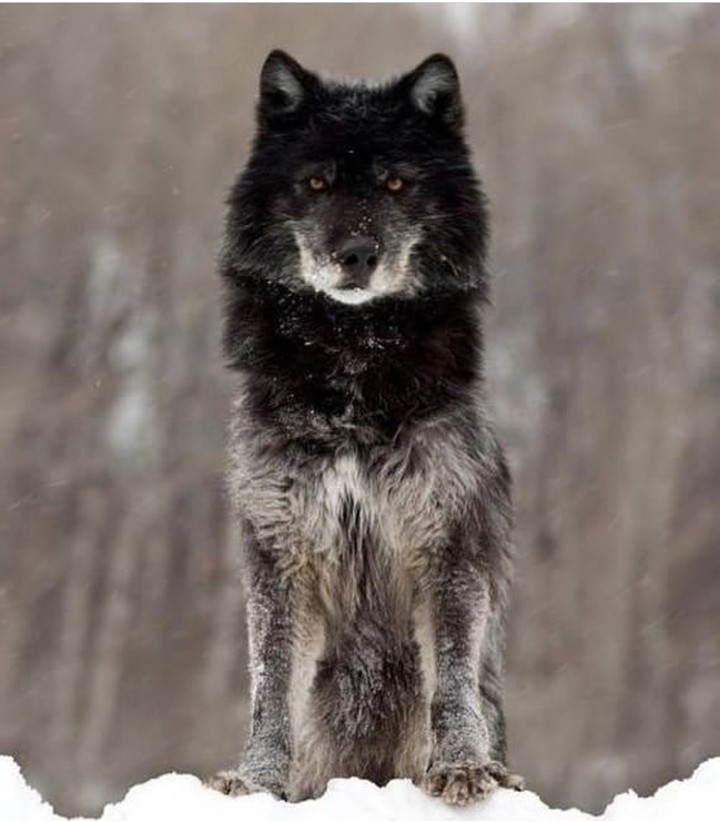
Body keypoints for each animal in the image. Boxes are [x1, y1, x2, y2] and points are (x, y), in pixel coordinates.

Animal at [207, 50, 523, 806]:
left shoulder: (449, 541)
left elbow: (453, 682)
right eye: (317, 182)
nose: (355, 253)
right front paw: (257, 782)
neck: (351, 364)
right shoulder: (280, 553)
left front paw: (462, 768)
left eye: (396, 183)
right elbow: (270, 689)